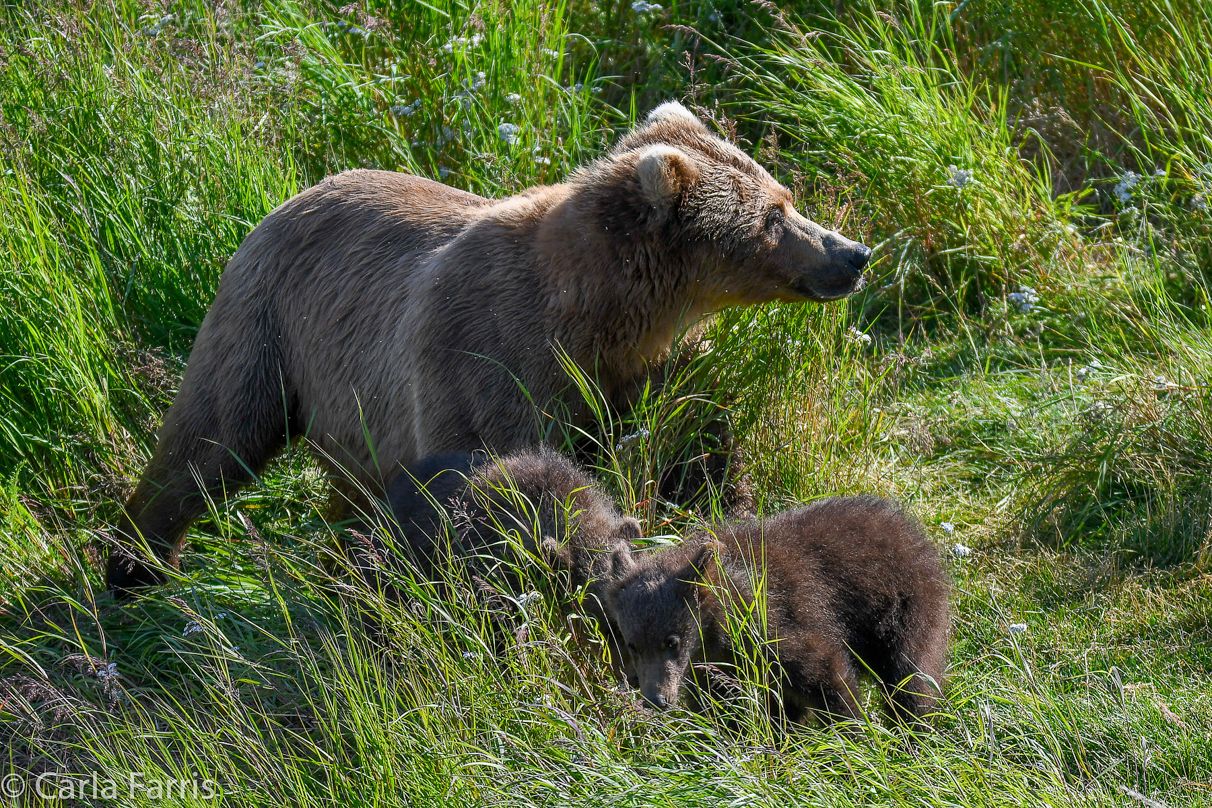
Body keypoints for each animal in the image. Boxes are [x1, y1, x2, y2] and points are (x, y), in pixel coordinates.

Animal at [106, 101, 872, 593]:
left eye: (783, 193)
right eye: (774, 215)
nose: (853, 253)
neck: (602, 313)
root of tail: (297, 193)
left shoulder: (656, 368)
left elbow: (697, 450)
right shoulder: (486, 355)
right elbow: (495, 484)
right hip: (269, 323)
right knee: (214, 435)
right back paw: (135, 564)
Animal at [601, 496, 950, 731]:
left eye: (671, 641)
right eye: (633, 644)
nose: (657, 699)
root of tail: (910, 528)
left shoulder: (778, 623)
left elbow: (826, 676)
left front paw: (855, 738)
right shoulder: (712, 664)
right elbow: (720, 705)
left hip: (904, 606)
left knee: (912, 675)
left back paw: (913, 732)